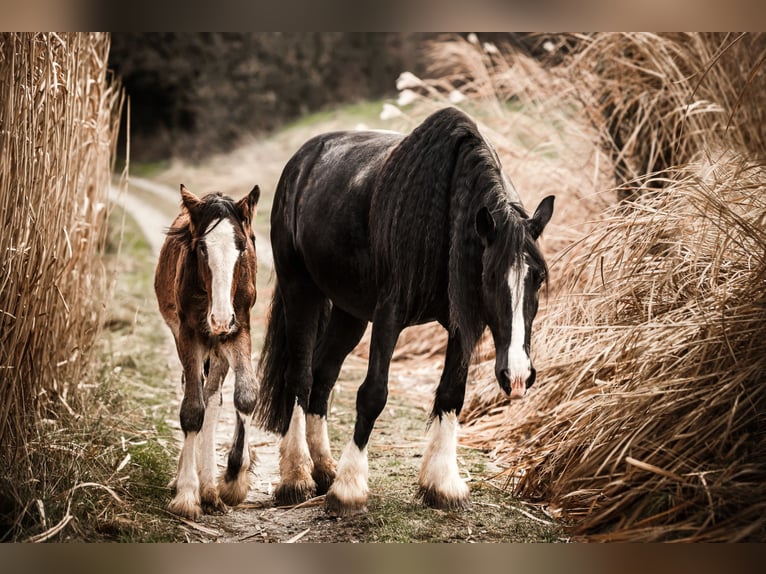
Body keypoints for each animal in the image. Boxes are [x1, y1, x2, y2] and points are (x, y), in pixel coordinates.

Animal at [256, 108, 552, 516]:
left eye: (538, 277)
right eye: (490, 276)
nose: (518, 375)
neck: (446, 218)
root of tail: (302, 159)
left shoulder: (463, 325)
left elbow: (451, 394)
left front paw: (442, 484)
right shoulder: (390, 314)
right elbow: (373, 394)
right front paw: (350, 489)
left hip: (350, 313)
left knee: (322, 375)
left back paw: (324, 469)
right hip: (300, 289)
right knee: (299, 378)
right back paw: (296, 477)